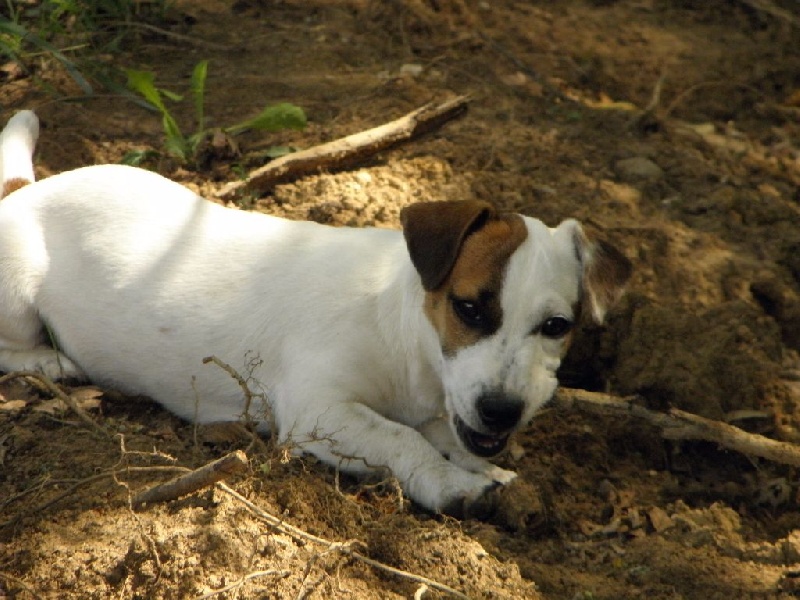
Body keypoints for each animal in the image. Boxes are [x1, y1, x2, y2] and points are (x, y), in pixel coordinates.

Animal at [0, 110, 632, 512]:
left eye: (556, 327)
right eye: (470, 308)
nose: (502, 412)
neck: (401, 330)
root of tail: (23, 193)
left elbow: (442, 435)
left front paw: (488, 471)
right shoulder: (320, 411)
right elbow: (404, 441)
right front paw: (453, 486)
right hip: (18, 289)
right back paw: (57, 365)